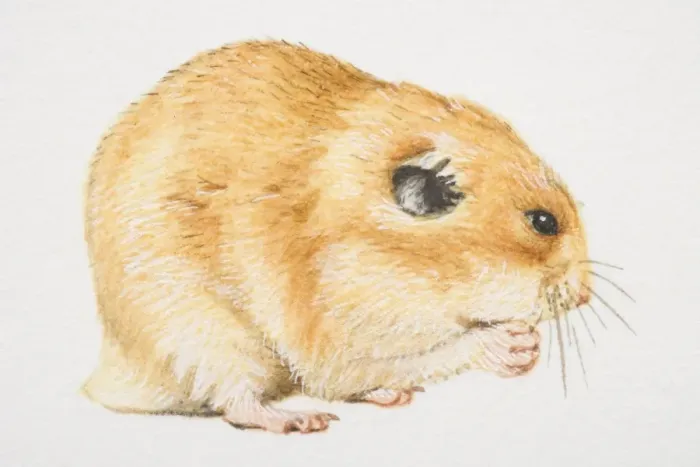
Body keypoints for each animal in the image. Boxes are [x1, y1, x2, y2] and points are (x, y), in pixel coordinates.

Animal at [82, 40, 592, 433]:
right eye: (542, 222)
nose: (585, 295)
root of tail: (106, 376)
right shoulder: (336, 332)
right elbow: (433, 352)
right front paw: (517, 345)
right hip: (202, 334)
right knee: (239, 404)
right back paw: (304, 421)